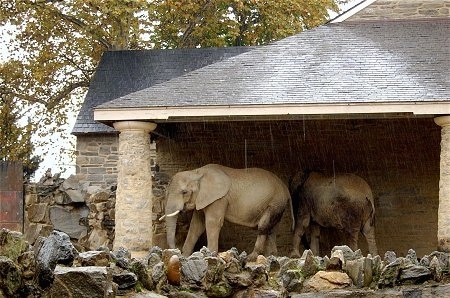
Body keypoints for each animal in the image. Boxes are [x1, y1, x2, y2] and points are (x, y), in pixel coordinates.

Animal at [160, 164, 290, 260]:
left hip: (274, 202)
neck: (197, 172)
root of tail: (285, 188)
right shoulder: (203, 198)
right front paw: (186, 256)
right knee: (272, 228)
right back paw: (271, 256)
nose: (175, 250)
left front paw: (210, 255)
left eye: (184, 192)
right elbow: (196, 226)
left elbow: (212, 223)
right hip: (278, 204)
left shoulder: (219, 199)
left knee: (263, 226)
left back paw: (251, 257)